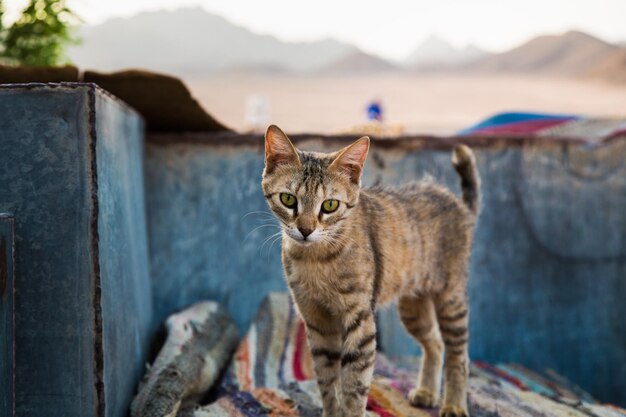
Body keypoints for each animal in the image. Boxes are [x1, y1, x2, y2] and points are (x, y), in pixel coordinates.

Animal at [258, 124, 478, 416]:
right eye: (288, 199)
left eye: (330, 205)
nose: (305, 230)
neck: (316, 260)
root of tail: (458, 204)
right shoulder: (317, 320)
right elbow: (327, 381)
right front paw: (331, 412)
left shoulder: (360, 319)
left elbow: (354, 384)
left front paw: (350, 410)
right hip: (413, 307)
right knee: (435, 343)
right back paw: (427, 392)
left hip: (451, 299)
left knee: (459, 355)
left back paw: (453, 404)